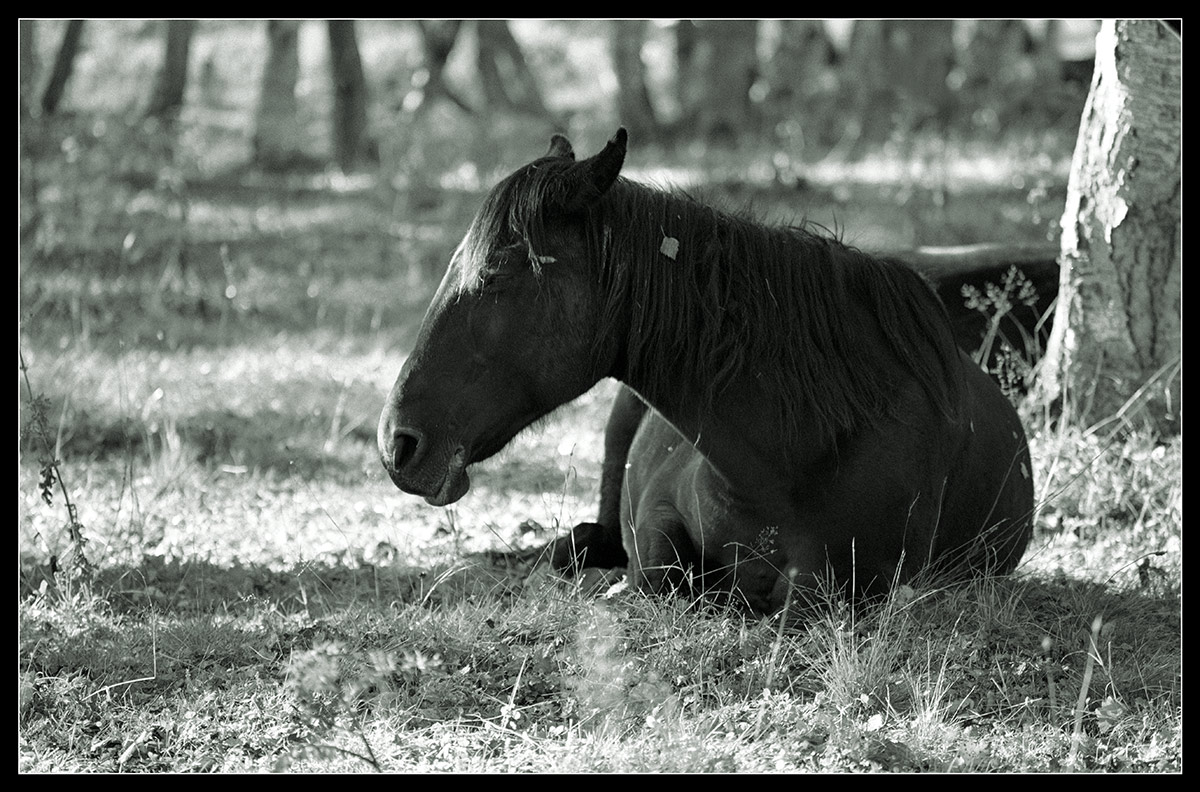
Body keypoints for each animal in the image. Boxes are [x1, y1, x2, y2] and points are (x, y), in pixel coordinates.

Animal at [379, 130, 1036, 612]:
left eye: (496, 274)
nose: (397, 444)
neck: (799, 448)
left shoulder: (851, 584)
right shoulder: (657, 518)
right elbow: (660, 574)